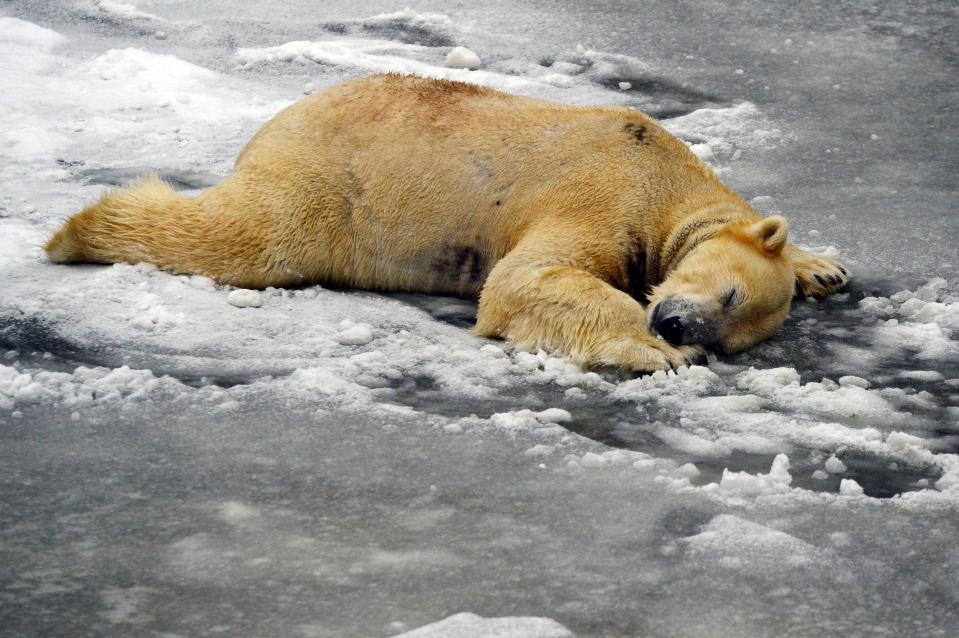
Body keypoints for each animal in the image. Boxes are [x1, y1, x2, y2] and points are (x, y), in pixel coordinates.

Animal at [48, 73, 852, 372]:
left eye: (733, 329)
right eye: (727, 296)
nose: (680, 327)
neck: (664, 174)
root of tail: (282, 117)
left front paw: (825, 266)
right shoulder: (603, 187)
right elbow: (527, 278)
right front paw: (649, 351)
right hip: (329, 183)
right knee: (247, 235)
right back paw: (77, 231)